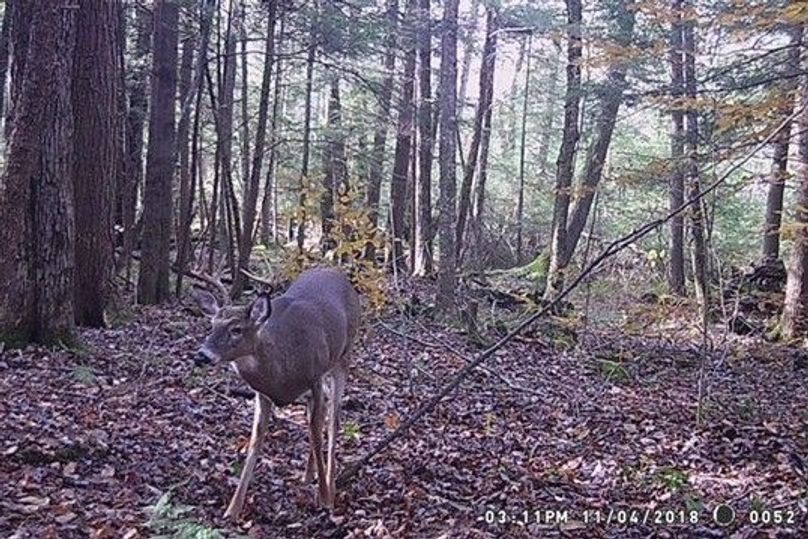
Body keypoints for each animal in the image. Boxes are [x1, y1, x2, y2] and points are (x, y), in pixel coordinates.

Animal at [193, 268, 360, 520]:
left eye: (236, 329)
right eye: (211, 325)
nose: (202, 355)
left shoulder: (315, 377)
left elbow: (317, 434)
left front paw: (325, 499)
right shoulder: (263, 394)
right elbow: (255, 441)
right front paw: (232, 509)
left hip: (343, 356)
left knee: (334, 420)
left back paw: (330, 484)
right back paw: (307, 475)